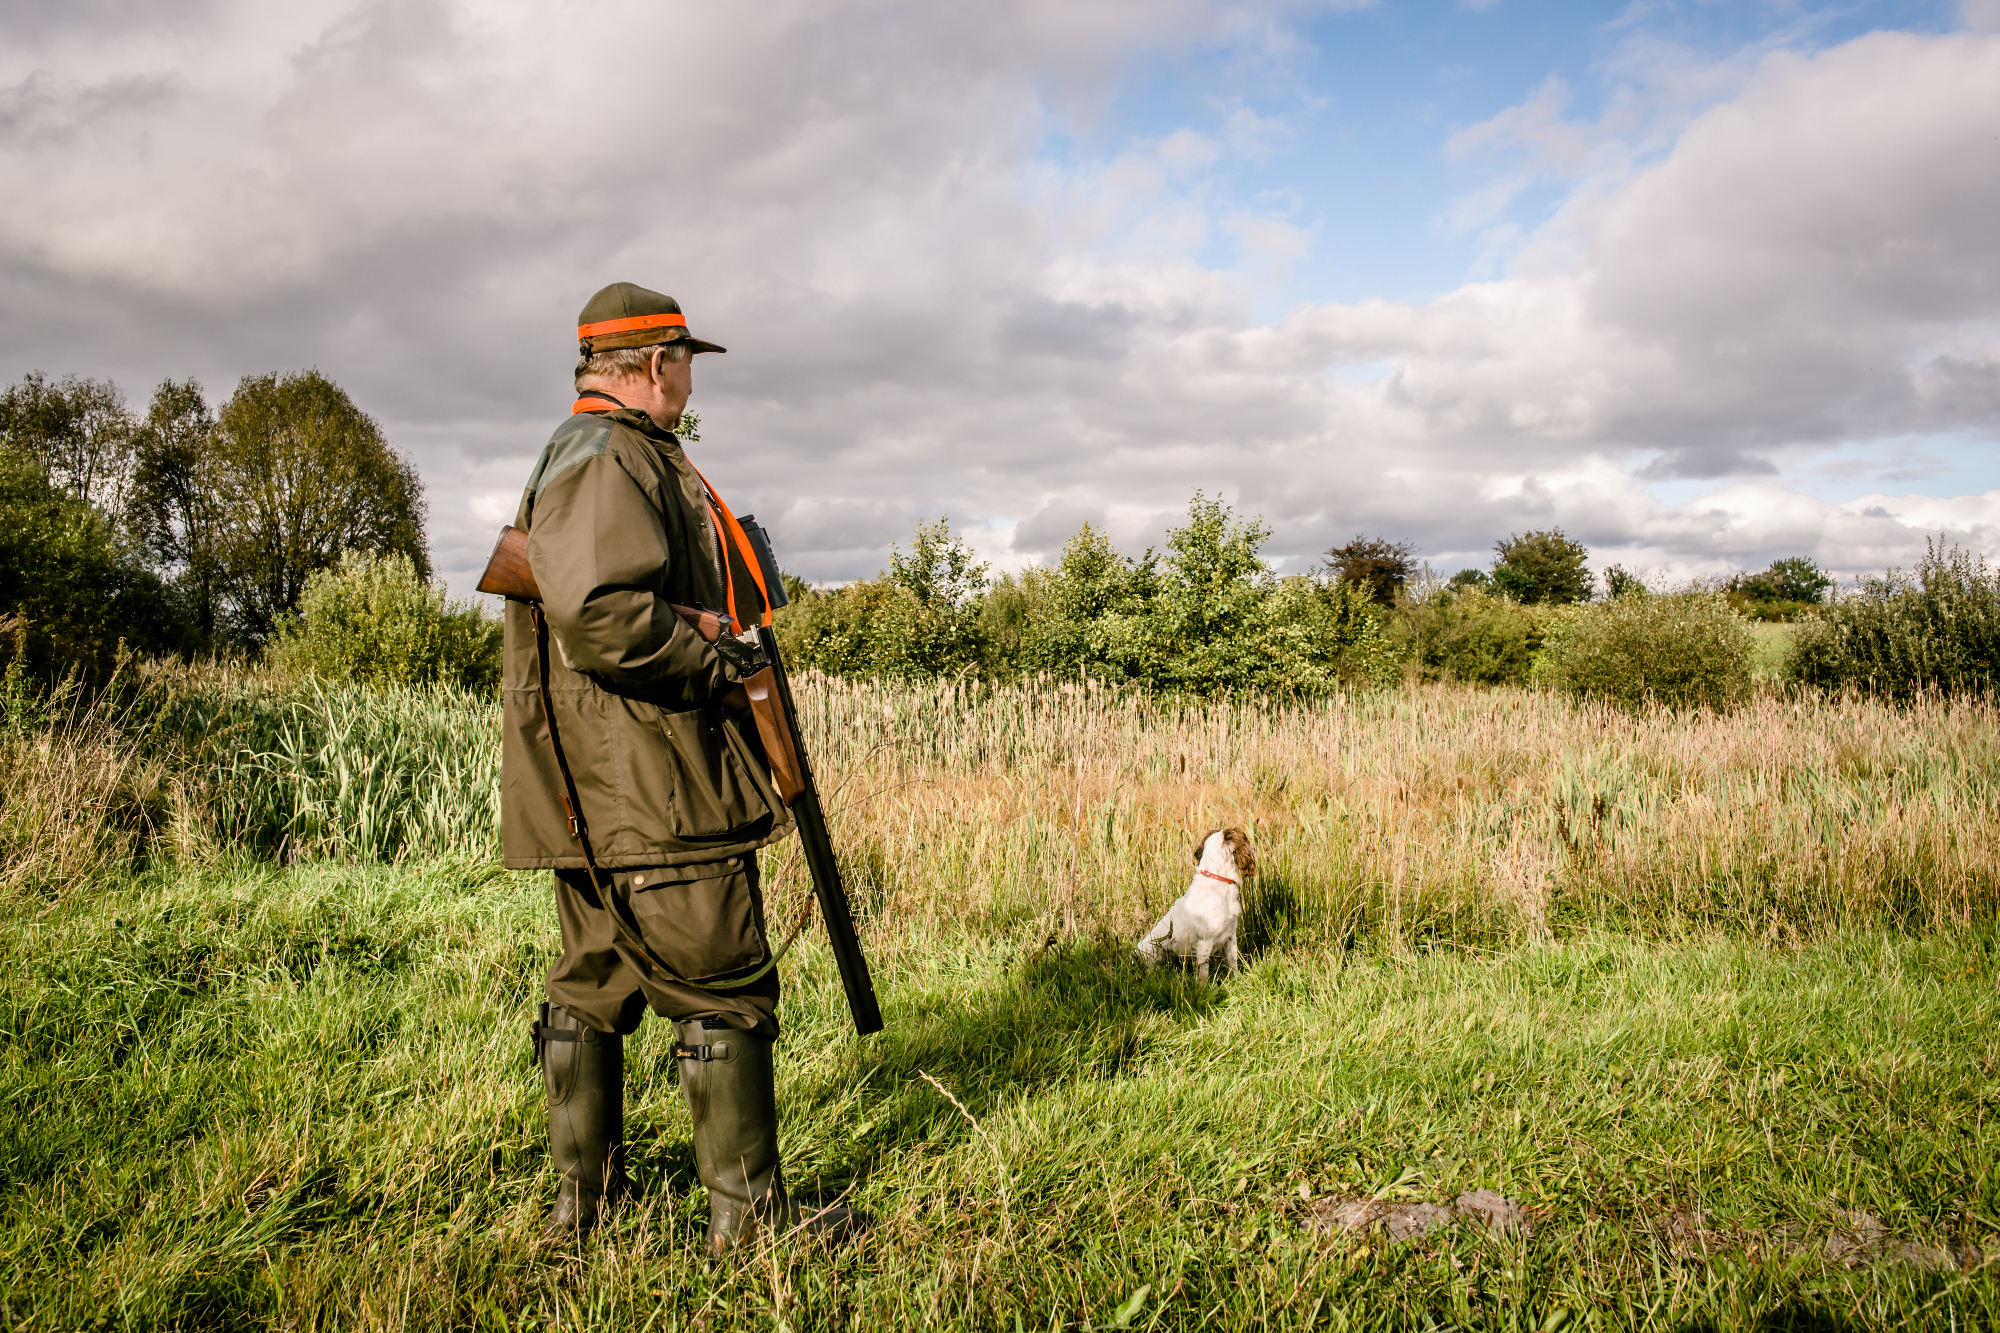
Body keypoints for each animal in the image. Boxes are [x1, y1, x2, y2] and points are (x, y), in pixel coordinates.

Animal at [1136, 820, 1256, 976]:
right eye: (1246, 839)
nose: (1254, 848)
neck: (1218, 880)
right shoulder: (1205, 942)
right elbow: (1203, 973)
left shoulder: (1230, 936)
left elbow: (1233, 966)